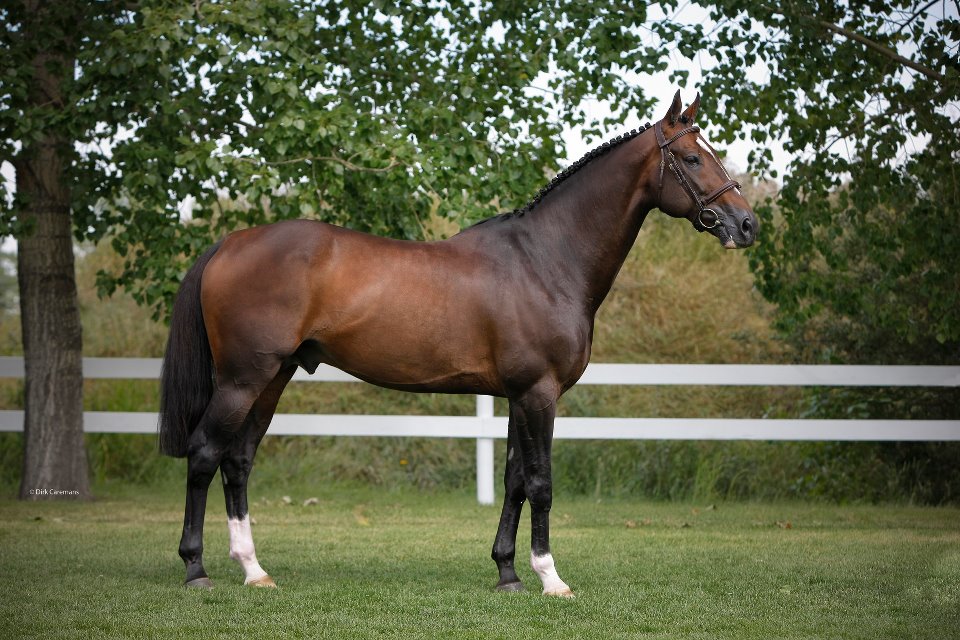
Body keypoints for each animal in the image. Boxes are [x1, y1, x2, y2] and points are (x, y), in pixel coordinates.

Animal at [159, 91, 757, 595]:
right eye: (693, 158)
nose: (746, 224)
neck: (546, 260)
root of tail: (231, 242)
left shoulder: (519, 395)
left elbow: (514, 480)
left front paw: (508, 574)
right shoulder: (539, 393)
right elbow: (541, 482)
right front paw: (550, 579)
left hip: (273, 377)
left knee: (238, 461)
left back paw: (254, 570)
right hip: (243, 379)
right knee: (205, 454)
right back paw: (195, 569)